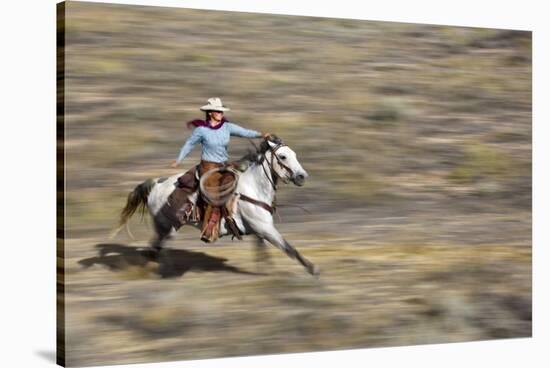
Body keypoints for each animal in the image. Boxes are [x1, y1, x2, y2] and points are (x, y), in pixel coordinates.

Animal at [115, 138, 322, 276]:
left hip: (165, 228)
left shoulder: (258, 230)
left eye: (294, 155)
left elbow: (262, 252)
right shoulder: (265, 228)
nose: (302, 176)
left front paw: (266, 271)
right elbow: (289, 248)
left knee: (156, 247)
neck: (254, 189)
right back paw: (164, 271)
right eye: (283, 156)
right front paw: (313, 269)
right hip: (167, 226)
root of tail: (155, 184)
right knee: (158, 247)